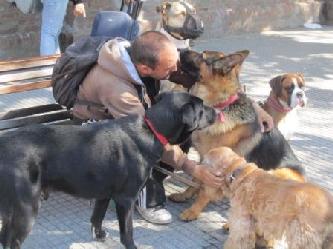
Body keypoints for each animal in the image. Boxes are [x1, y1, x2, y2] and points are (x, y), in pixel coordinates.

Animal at [0, 92, 215, 249]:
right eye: (202, 107)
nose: (217, 111)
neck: (151, 129)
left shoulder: (104, 194)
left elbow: (97, 217)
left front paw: (100, 235)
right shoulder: (125, 199)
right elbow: (127, 233)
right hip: (26, 209)